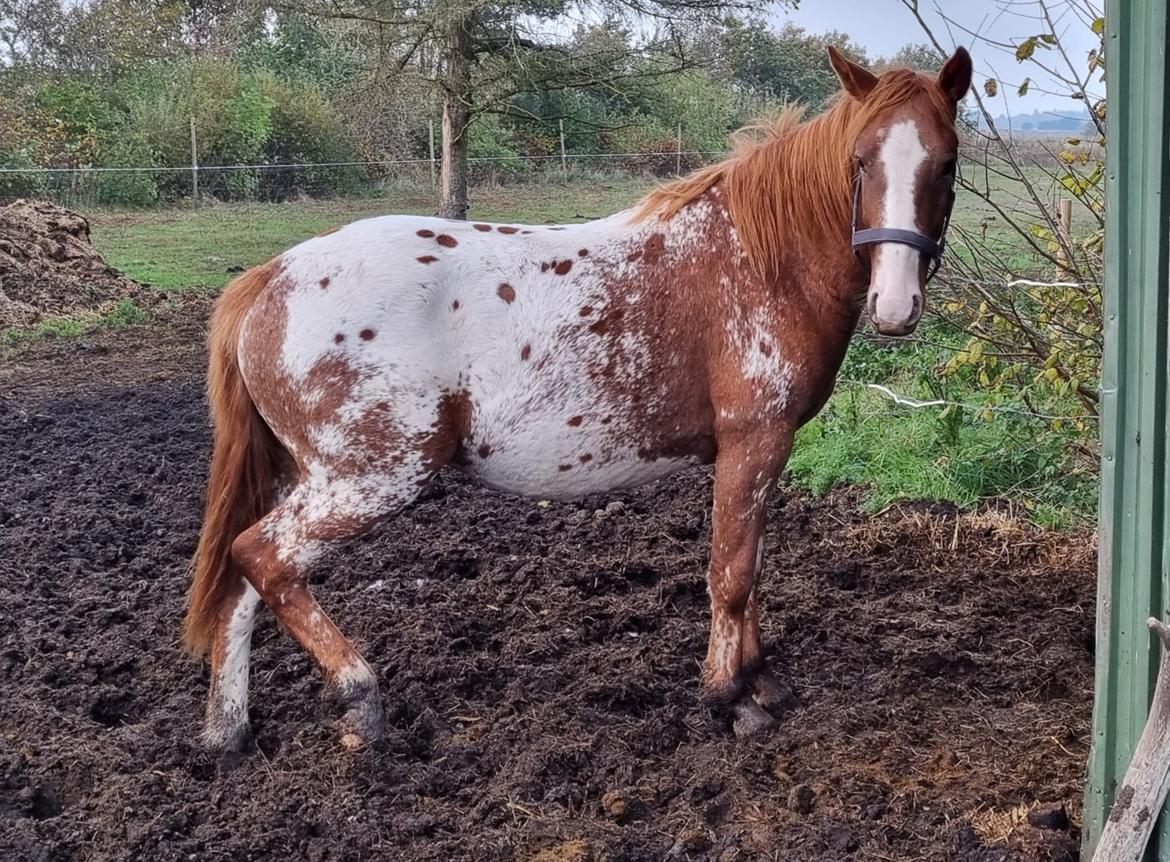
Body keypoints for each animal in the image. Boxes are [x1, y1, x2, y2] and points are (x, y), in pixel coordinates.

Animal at [182, 47, 968, 748]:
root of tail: (272, 278)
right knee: (263, 557)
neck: (756, 261)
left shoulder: (765, 451)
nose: (896, 306)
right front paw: (731, 696)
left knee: (242, 585)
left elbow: (751, 568)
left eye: (947, 163)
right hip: (370, 478)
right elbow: (732, 573)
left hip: (310, 475)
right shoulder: (754, 440)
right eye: (862, 161)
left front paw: (762, 680)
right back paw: (359, 695)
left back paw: (228, 729)